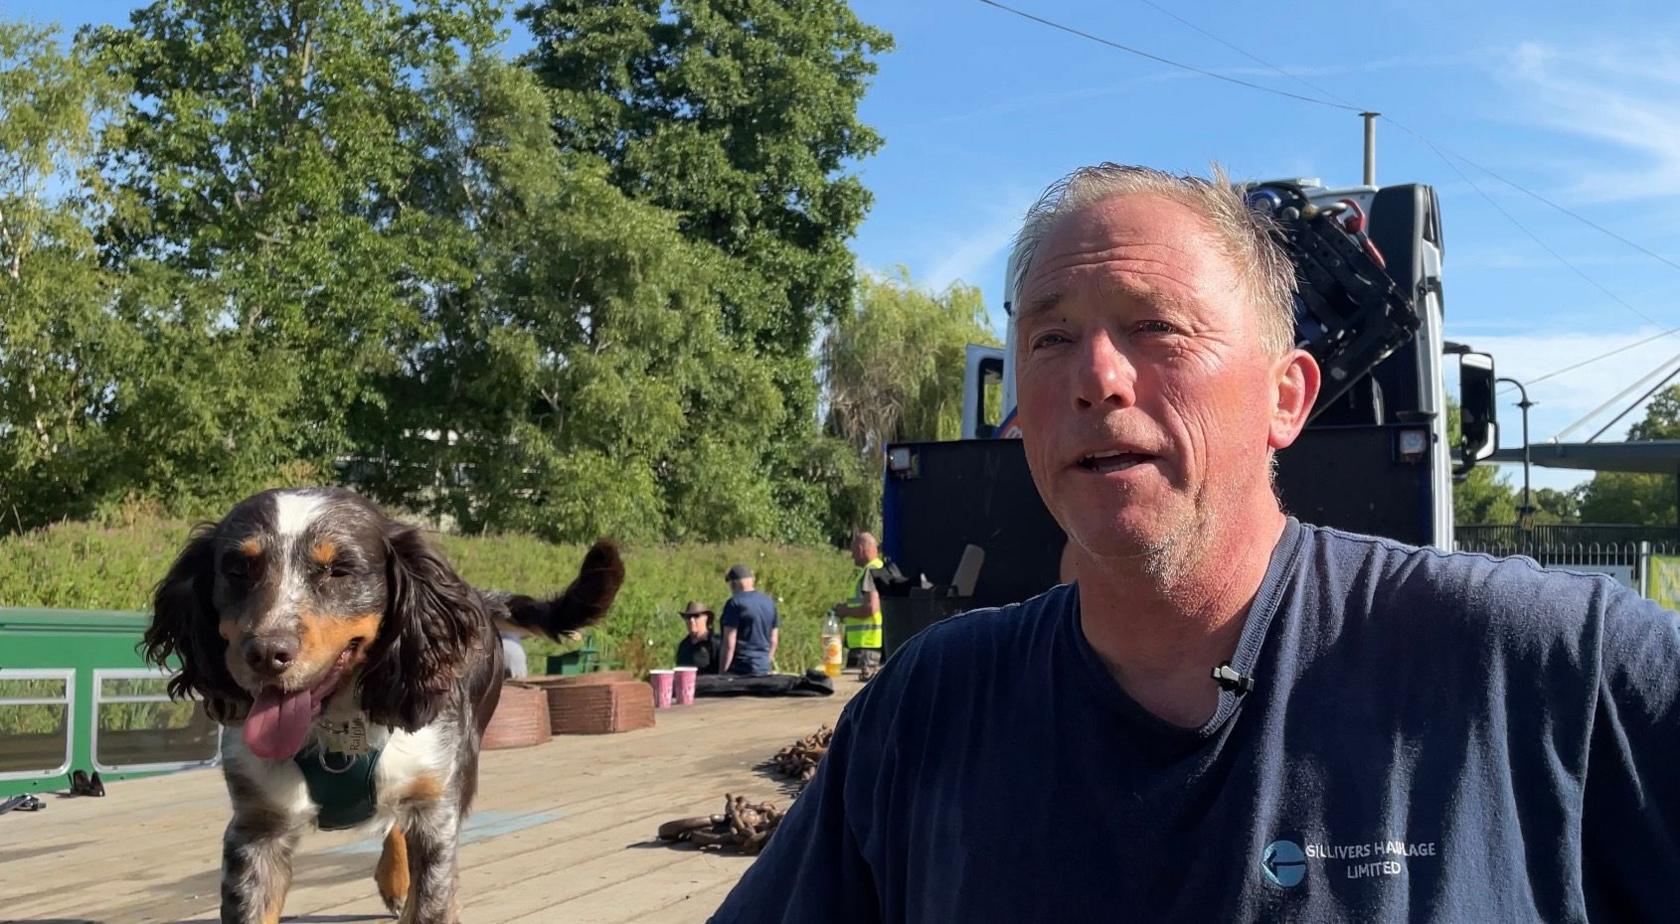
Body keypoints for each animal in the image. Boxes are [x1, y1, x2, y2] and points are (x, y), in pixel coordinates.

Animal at [144, 490, 624, 920]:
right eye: (239, 568)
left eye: (340, 570)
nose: (265, 654)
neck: (337, 728)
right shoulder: (256, 829)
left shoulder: (436, 813)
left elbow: (431, 895)